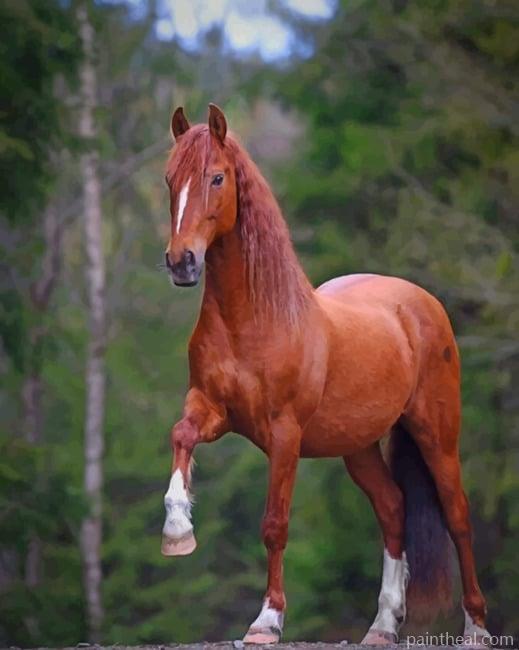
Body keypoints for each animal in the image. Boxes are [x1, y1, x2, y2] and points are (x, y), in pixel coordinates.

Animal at [160, 103, 489, 646]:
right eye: (169, 179)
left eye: (216, 177)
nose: (181, 262)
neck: (257, 318)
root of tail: (420, 301)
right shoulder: (211, 408)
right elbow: (181, 435)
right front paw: (177, 531)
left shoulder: (284, 435)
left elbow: (275, 524)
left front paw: (267, 621)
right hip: (358, 446)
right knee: (393, 509)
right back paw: (382, 626)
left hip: (437, 434)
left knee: (458, 516)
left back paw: (477, 627)